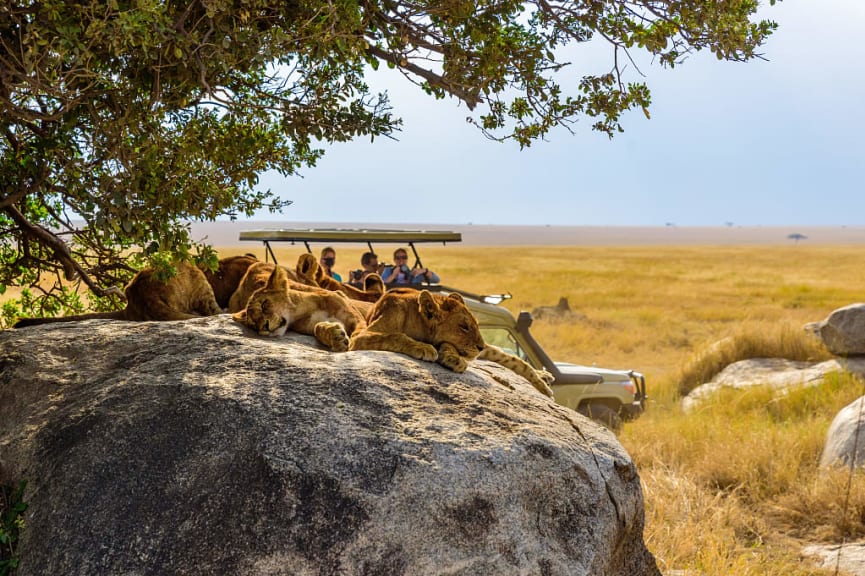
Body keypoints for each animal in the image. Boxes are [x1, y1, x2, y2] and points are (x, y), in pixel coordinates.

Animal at [231, 260, 366, 352]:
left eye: (264, 305)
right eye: (253, 324)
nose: (264, 328)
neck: (303, 312)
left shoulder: (353, 316)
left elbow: (359, 331)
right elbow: (318, 327)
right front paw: (335, 337)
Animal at [346, 288, 552, 396]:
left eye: (476, 325)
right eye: (464, 327)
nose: (480, 346)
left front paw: (453, 359)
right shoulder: (358, 338)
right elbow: (395, 336)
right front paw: (424, 348)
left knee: (516, 361)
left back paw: (544, 381)